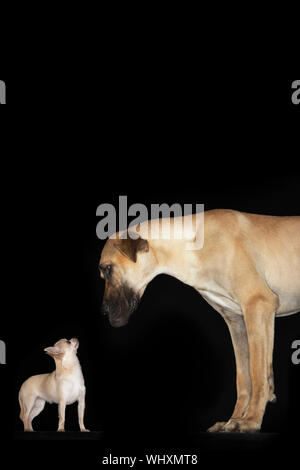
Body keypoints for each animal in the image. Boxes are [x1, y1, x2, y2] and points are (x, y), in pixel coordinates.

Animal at [100, 210, 300, 434]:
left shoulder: (258, 305)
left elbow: (257, 373)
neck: (189, 246)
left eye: (107, 269)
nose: (103, 310)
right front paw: (234, 419)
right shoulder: (237, 320)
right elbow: (244, 378)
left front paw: (251, 420)